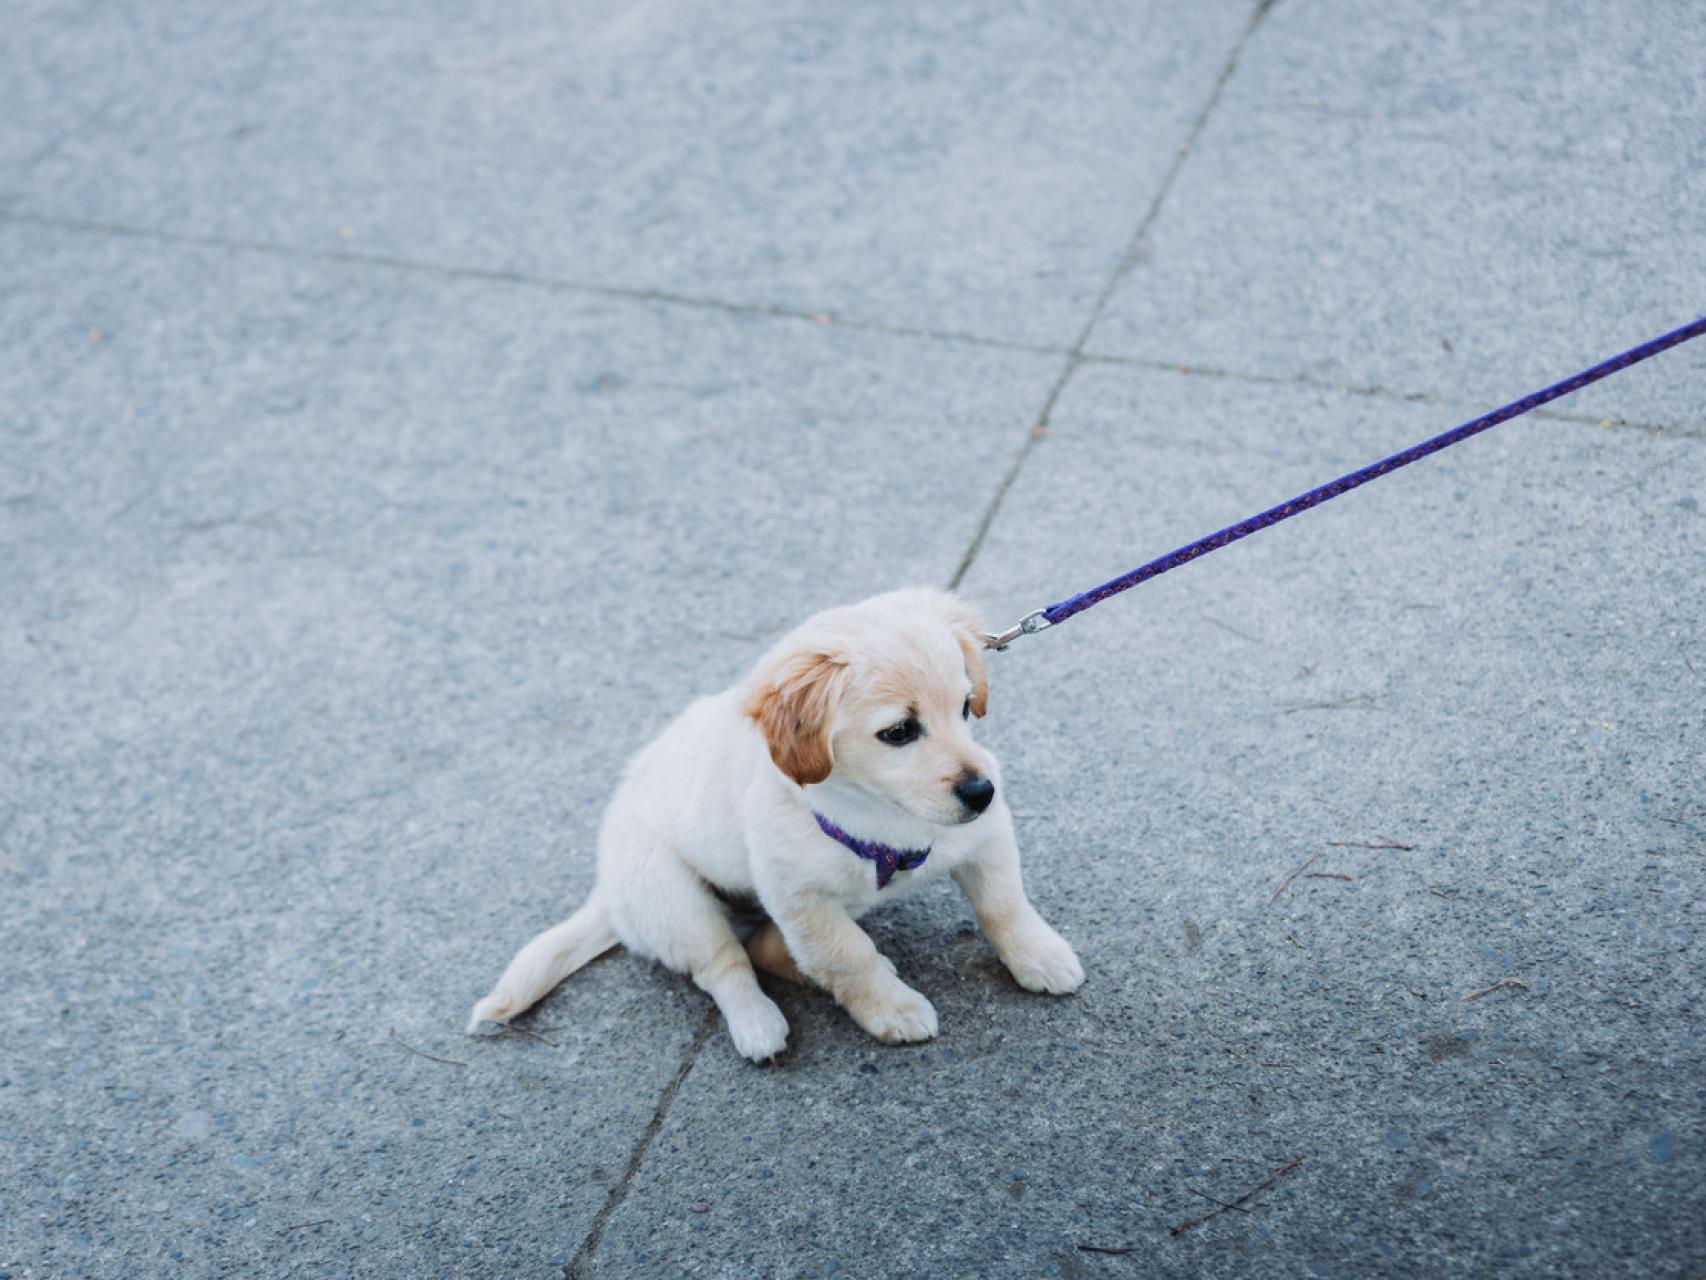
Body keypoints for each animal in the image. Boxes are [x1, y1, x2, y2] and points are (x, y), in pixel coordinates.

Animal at [467, 590, 1078, 1064]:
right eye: (900, 732)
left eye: (967, 709)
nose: (982, 792)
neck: (883, 813)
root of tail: (609, 894)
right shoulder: (799, 896)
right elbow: (846, 956)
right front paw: (891, 1007)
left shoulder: (985, 836)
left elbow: (1003, 906)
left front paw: (1039, 957)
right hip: (674, 901)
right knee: (726, 963)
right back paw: (757, 1023)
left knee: (765, 945)